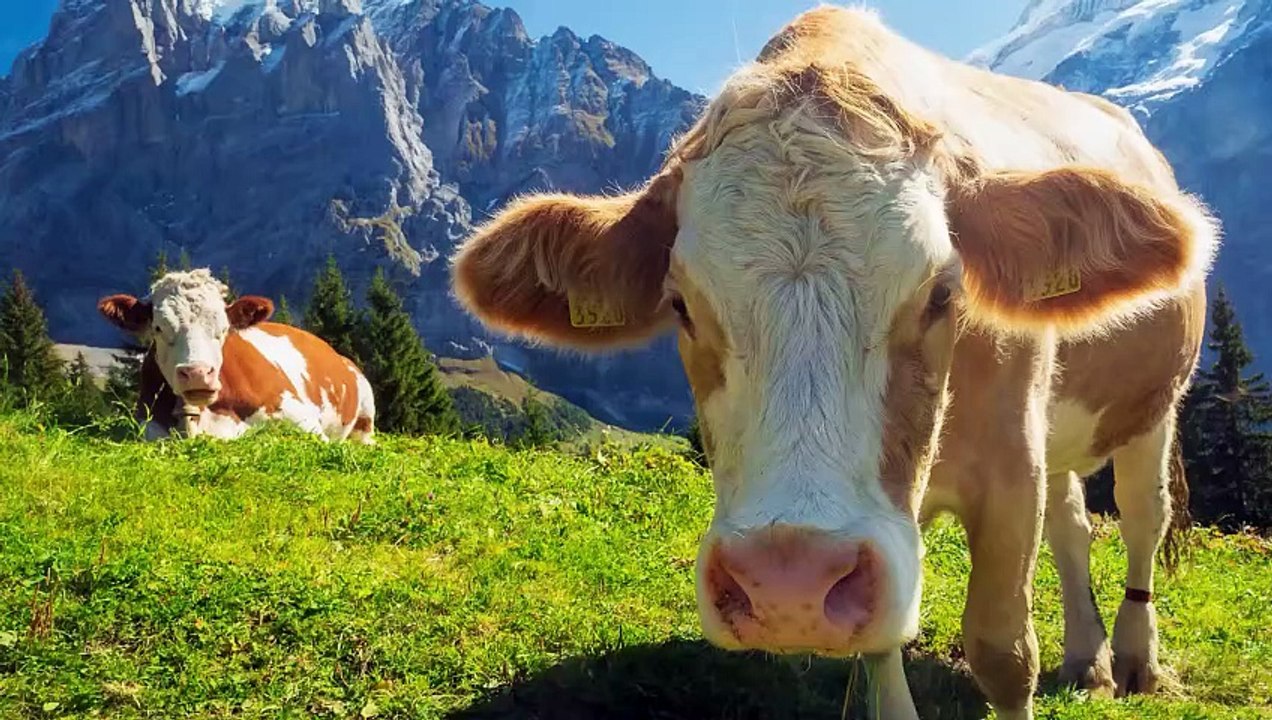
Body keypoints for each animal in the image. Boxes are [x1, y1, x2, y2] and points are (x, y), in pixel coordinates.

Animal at [448, 7, 1218, 718]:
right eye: (681, 303)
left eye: (943, 292)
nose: (787, 587)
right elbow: (881, 654)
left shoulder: (1009, 469)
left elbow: (1003, 653)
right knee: (1073, 525)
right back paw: (1087, 660)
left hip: (1155, 404)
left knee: (1142, 514)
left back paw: (1135, 658)